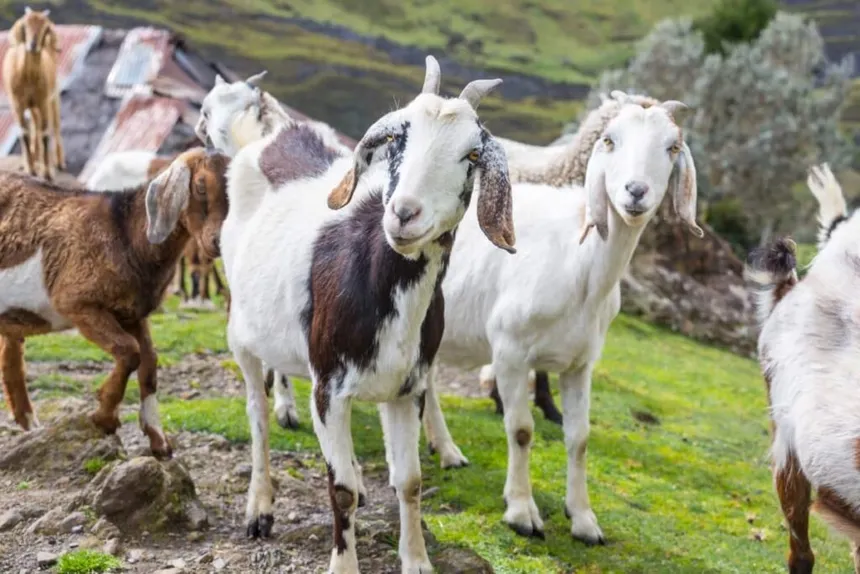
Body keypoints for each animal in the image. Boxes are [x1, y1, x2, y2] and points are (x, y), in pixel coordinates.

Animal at [0, 148, 230, 459]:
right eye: (201, 186)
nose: (219, 242)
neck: (126, 233)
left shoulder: (133, 313)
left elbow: (149, 363)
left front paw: (159, 441)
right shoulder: (78, 304)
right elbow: (129, 351)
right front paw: (104, 418)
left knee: (11, 358)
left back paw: (30, 425)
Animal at [2, 7, 64, 181]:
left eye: (45, 28)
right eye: (25, 26)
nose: (33, 45)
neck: (28, 77)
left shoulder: (43, 102)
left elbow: (45, 134)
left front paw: (47, 172)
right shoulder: (17, 104)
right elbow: (24, 132)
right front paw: (30, 168)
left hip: (52, 99)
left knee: (54, 126)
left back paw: (59, 162)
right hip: (32, 105)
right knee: (34, 126)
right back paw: (33, 158)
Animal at [221, 56, 514, 573]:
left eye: (473, 156)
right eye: (398, 138)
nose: (404, 214)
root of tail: (275, 135)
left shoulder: (407, 390)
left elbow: (409, 482)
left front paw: (416, 560)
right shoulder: (328, 387)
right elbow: (337, 491)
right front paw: (344, 563)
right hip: (242, 335)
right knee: (256, 416)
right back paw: (259, 508)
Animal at [413, 93, 703, 543]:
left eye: (672, 147)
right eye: (609, 140)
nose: (636, 192)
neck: (580, 263)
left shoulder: (580, 364)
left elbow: (579, 437)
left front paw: (583, 519)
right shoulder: (510, 352)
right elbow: (521, 430)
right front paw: (521, 511)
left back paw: (446, 450)